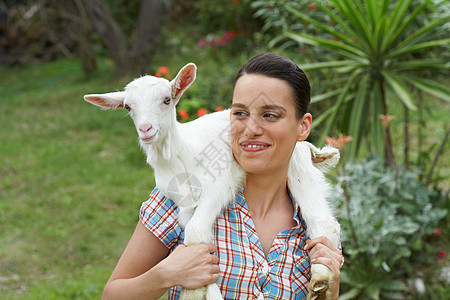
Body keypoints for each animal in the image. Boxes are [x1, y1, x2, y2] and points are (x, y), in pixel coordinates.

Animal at [84, 63, 342, 300]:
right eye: (128, 107)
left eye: (167, 100)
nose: (145, 129)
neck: (180, 154)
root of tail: (309, 147)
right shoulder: (182, 201)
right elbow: (195, 236)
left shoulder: (220, 185)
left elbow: (195, 232)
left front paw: (193, 292)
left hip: (298, 168)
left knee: (322, 220)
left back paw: (320, 279)